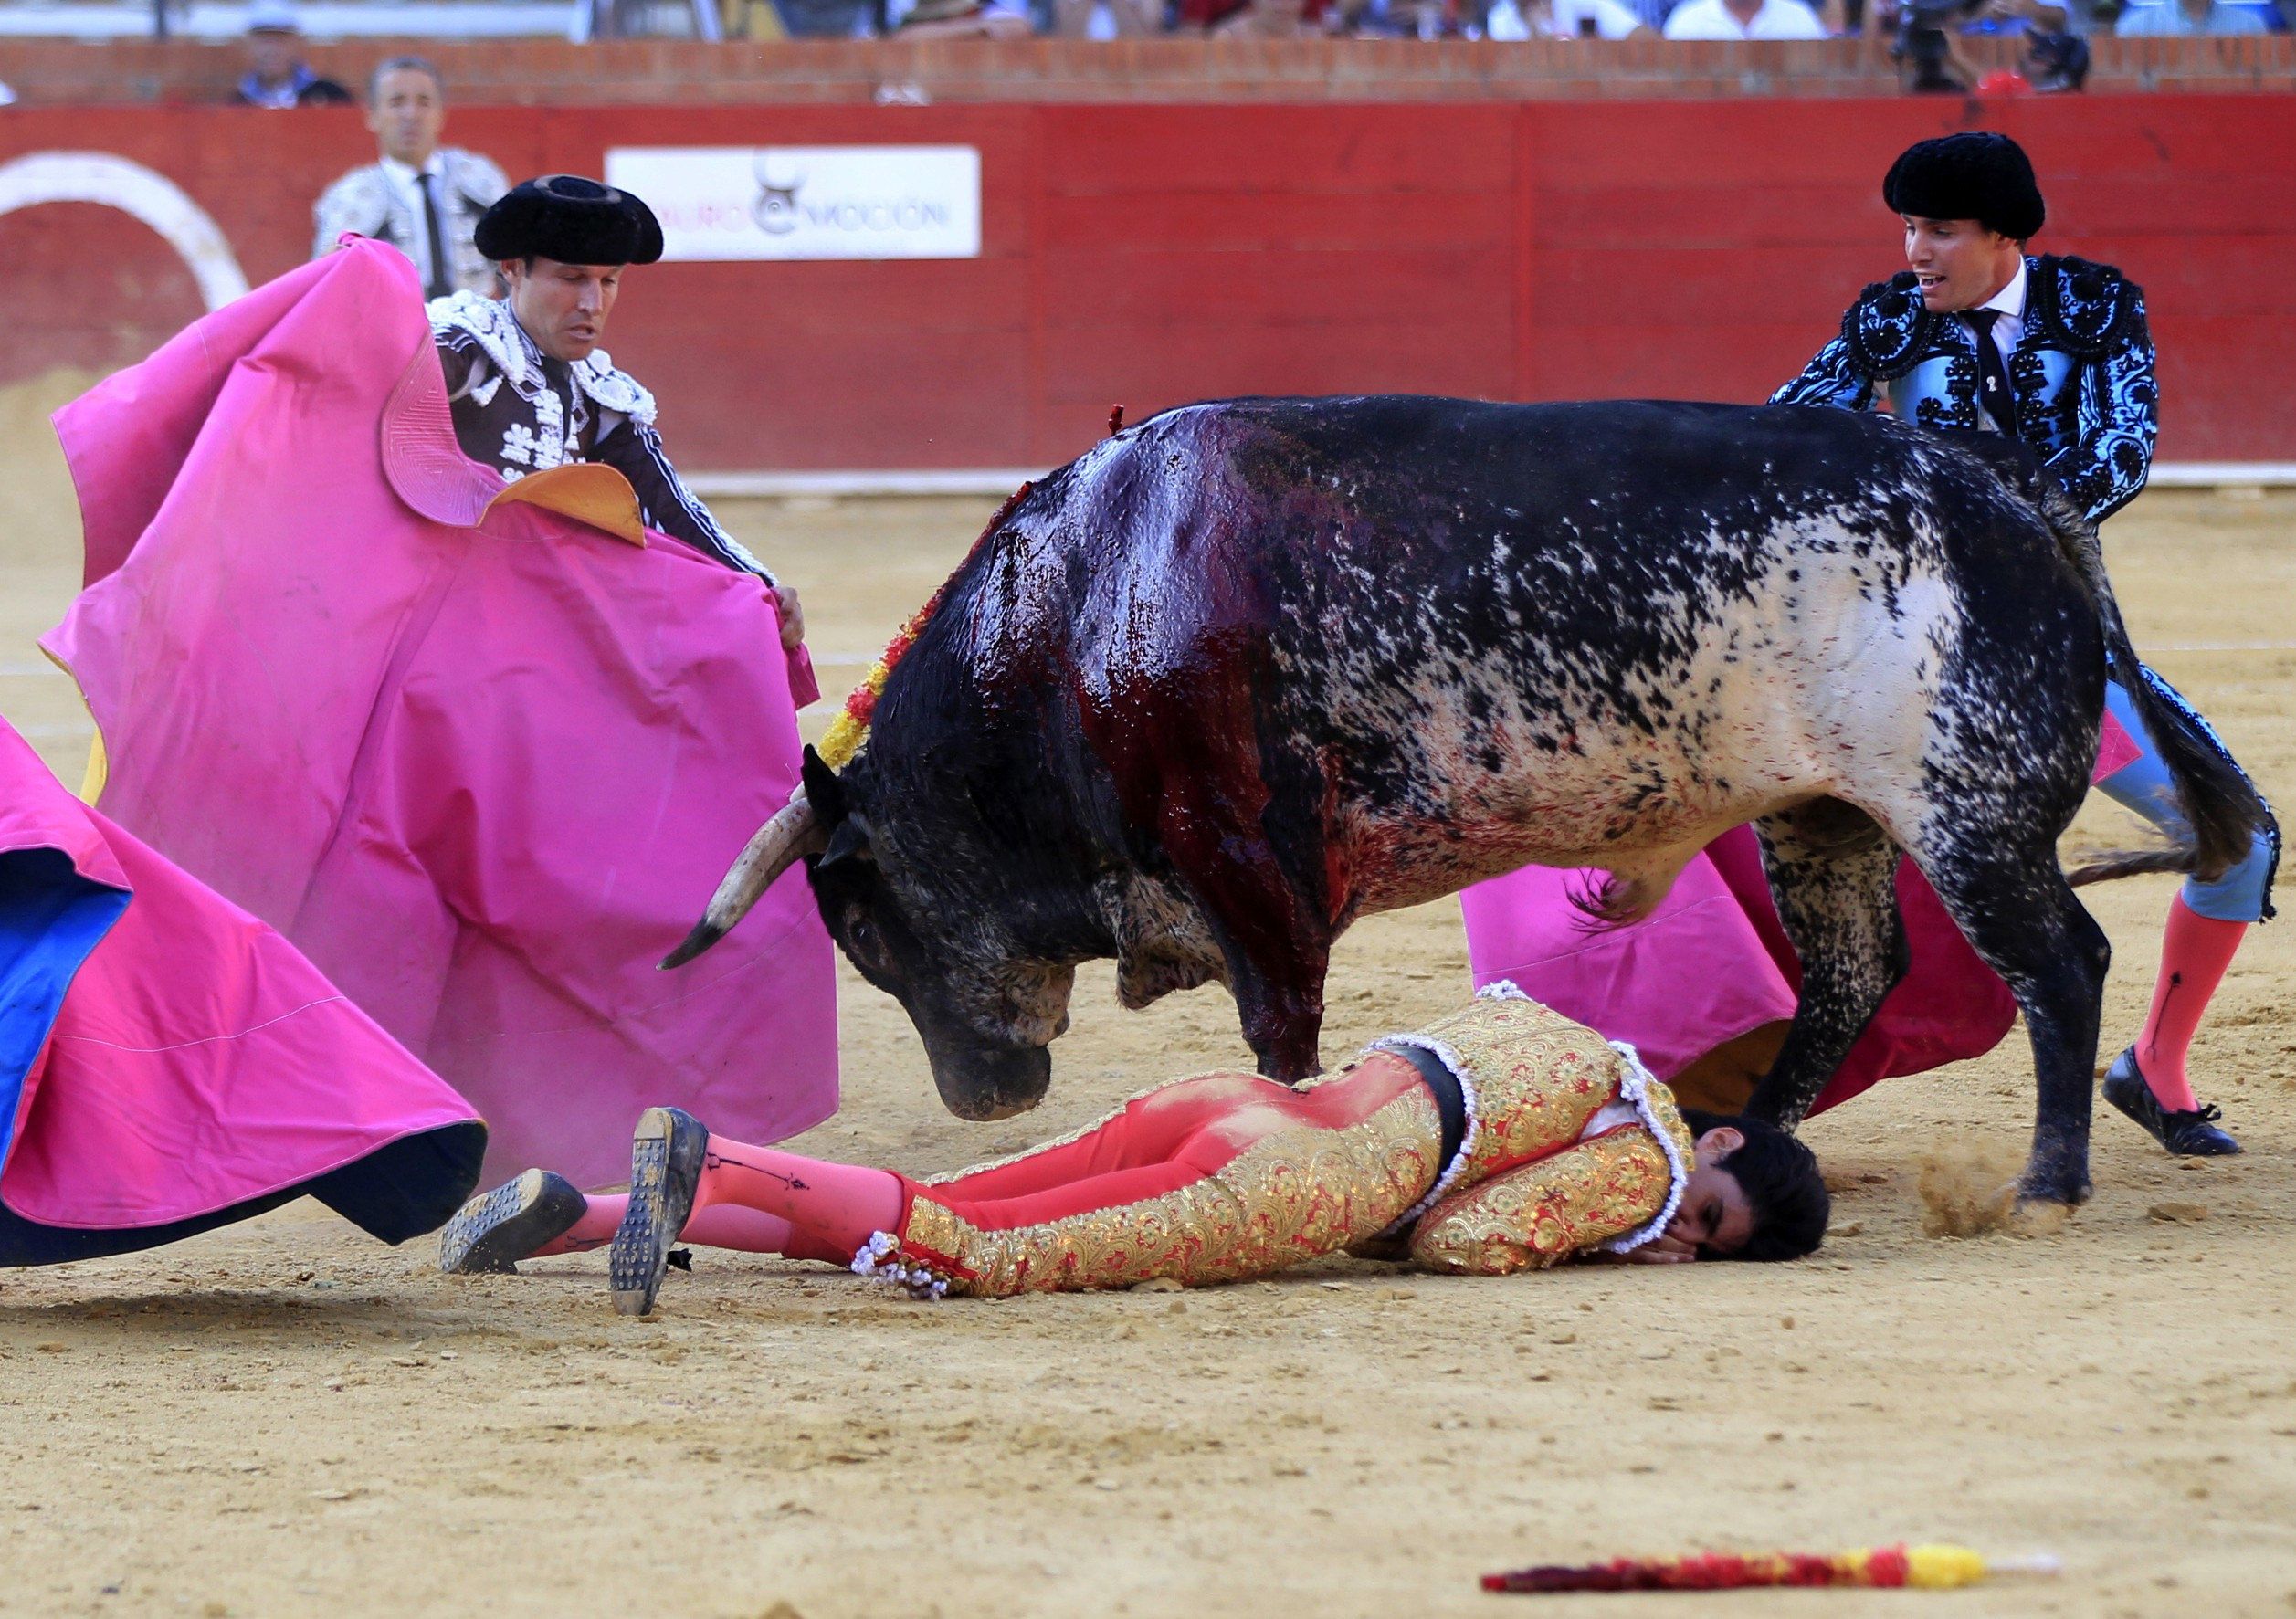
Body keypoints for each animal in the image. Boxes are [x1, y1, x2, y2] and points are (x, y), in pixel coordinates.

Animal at [661, 394, 2259, 1203]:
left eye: (863, 927)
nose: (982, 1096)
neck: (1081, 607)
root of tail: (2014, 489)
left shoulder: (1250, 864)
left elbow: (1280, 1031)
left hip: (1964, 808)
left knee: (2061, 960)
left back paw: (2049, 1175)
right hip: (1828, 814)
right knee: (1857, 975)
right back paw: (1747, 1140)